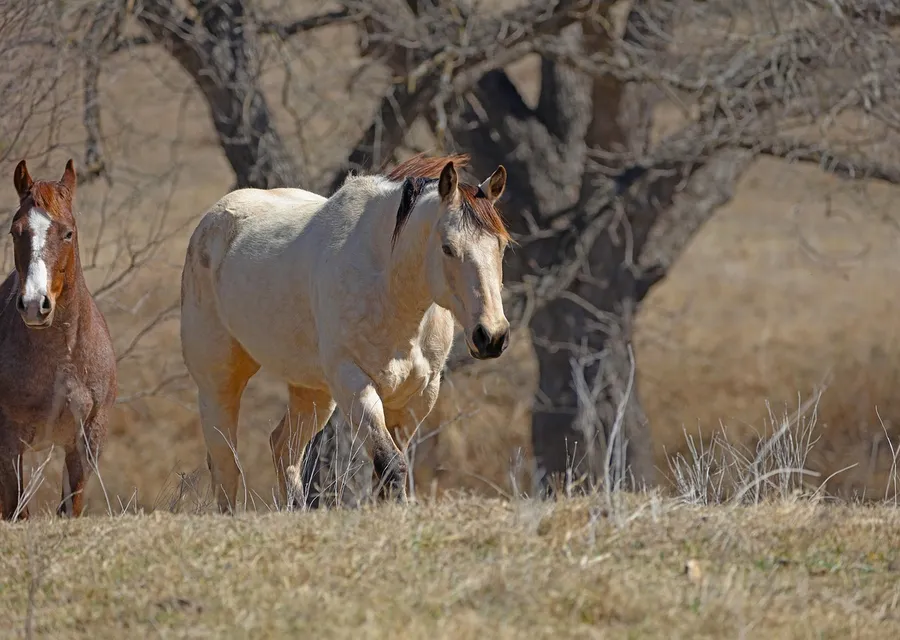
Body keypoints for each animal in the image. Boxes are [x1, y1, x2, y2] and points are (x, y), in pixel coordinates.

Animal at [0, 159, 117, 520]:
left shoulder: (85, 441)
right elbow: (15, 510)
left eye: (68, 232)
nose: (34, 305)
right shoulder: (9, 443)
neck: (61, 361)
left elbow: (69, 508)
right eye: (16, 231)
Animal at [180, 153, 511, 513]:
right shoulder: (354, 384)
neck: (390, 293)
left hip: (312, 392)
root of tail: (211, 222)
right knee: (226, 465)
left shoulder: (418, 396)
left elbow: (389, 470)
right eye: (448, 247)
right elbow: (391, 464)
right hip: (219, 383)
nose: (491, 336)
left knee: (284, 448)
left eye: (502, 246)